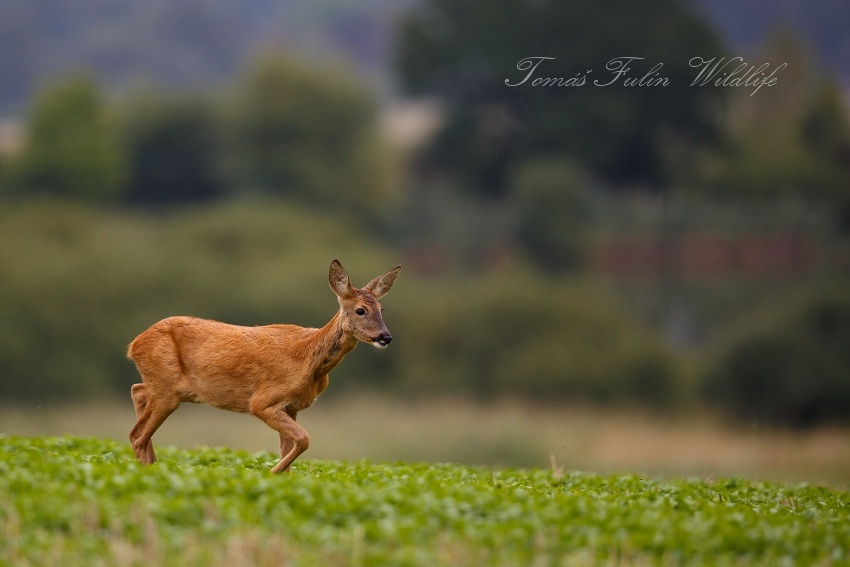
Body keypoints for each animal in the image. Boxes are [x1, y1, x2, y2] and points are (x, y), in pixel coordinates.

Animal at [127, 259, 401, 473]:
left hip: (163, 386)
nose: (385, 337)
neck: (308, 358)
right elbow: (304, 439)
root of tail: (134, 344)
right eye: (361, 310)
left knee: (137, 393)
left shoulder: (292, 407)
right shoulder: (263, 402)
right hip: (167, 390)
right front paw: (270, 473)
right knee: (136, 434)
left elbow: (290, 447)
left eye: (381, 308)